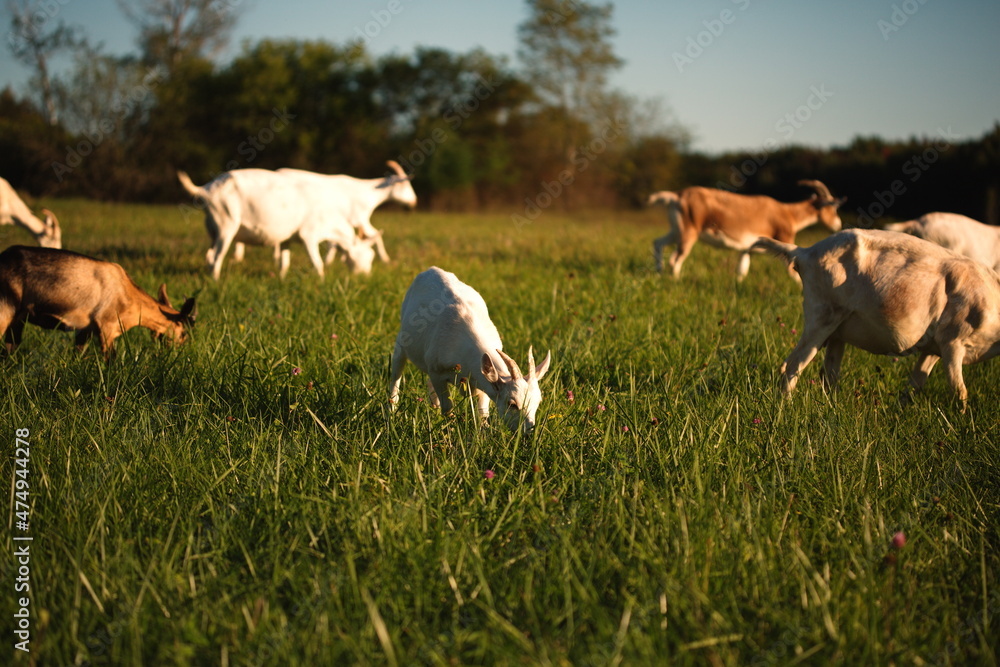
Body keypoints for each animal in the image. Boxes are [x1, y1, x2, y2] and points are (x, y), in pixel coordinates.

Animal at [0, 246, 196, 357]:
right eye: (183, 333)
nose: (184, 351)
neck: (129, 295)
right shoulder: (107, 327)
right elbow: (111, 359)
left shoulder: (85, 329)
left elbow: (78, 355)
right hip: (5, 310)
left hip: (17, 320)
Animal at [177, 169, 385, 280]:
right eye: (369, 256)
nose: (366, 276)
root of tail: (205, 190)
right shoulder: (309, 235)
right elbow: (317, 262)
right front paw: (322, 281)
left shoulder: (286, 239)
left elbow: (283, 262)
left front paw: (282, 279)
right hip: (226, 225)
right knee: (215, 258)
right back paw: (216, 281)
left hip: (213, 230)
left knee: (208, 255)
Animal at [388, 267, 552, 435]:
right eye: (512, 403)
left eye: (538, 402)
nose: (528, 432)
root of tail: (432, 269)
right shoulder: (436, 372)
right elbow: (448, 409)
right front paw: (449, 432)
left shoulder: (483, 382)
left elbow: (483, 413)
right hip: (402, 340)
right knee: (396, 374)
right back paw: (391, 412)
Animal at [651, 180, 844, 281]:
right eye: (832, 208)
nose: (837, 225)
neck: (787, 212)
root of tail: (676, 196)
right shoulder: (786, 239)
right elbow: (794, 272)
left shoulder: (746, 250)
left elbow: (741, 271)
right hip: (688, 234)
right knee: (675, 259)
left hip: (677, 231)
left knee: (658, 243)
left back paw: (659, 272)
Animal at [754, 229, 1000, 411]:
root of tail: (805, 252)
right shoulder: (952, 340)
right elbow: (959, 391)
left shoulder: (933, 349)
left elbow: (915, 384)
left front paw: (899, 414)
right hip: (821, 317)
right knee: (792, 365)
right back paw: (786, 406)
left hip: (837, 329)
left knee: (828, 373)